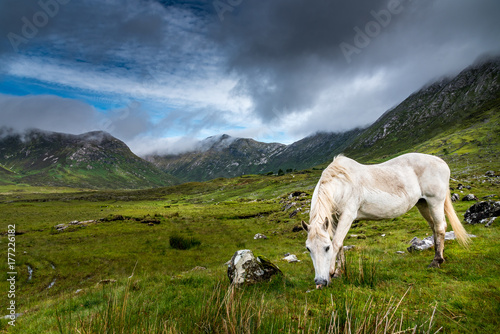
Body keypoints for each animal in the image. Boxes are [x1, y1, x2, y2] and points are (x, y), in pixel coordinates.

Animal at [302, 153, 470, 288]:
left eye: (326, 248)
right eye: (308, 249)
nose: (320, 282)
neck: (342, 183)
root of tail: (441, 162)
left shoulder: (348, 215)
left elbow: (336, 243)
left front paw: (332, 273)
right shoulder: (335, 219)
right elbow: (341, 244)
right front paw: (339, 272)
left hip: (435, 201)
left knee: (440, 227)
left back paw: (436, 261)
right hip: (423, 204)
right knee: (435, 227)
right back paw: (440, 256)